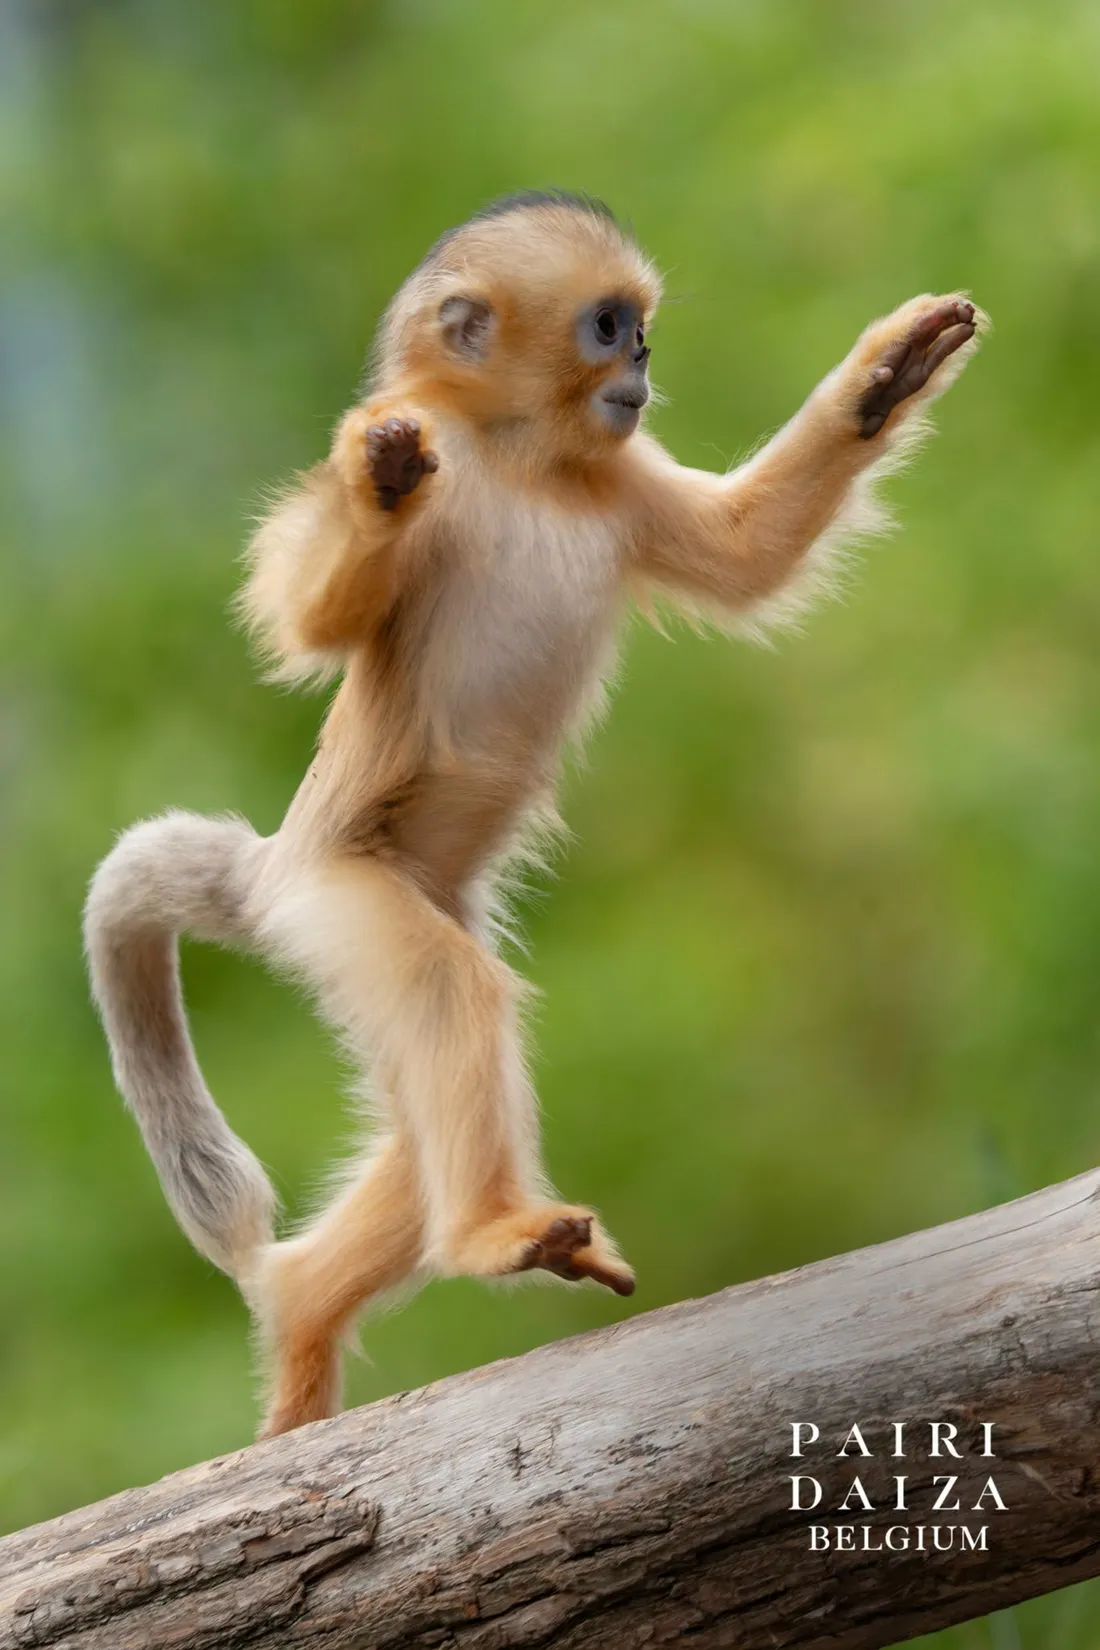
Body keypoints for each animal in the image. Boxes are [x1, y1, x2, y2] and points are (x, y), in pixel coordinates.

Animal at [84, 191, 983, 1439]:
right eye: (608, 326)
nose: (644, 362)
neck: (518, 464)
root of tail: (267, 869)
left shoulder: (619, 479)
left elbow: (744, 554)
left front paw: (883, 376)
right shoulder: (426, 444)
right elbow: (303, 619)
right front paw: (377, 491)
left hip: (405, 910)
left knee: (419, 1114)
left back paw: (309, 1304)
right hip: (341, 899)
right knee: (450, 997)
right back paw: (486, 1235)